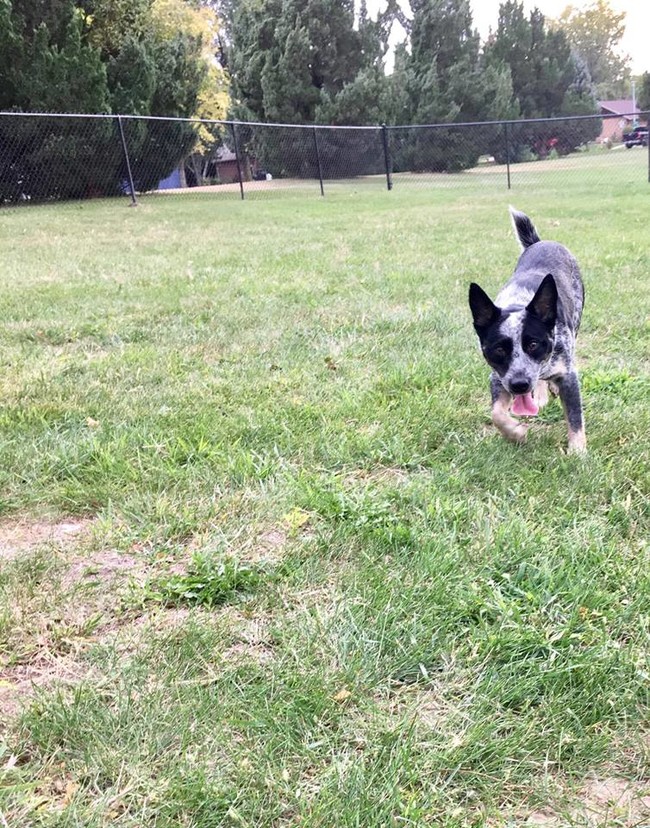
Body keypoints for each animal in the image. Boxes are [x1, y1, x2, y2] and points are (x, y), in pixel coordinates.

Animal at [468, 207, 584, 452]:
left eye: (533, 344)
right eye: (499, 350)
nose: (520, 385)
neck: (518, 303)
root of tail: (541, 242)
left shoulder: (569, 376)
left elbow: (575, 419)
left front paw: (579, 452)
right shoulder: (498, 377)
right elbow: (496, 413)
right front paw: (515, 433)